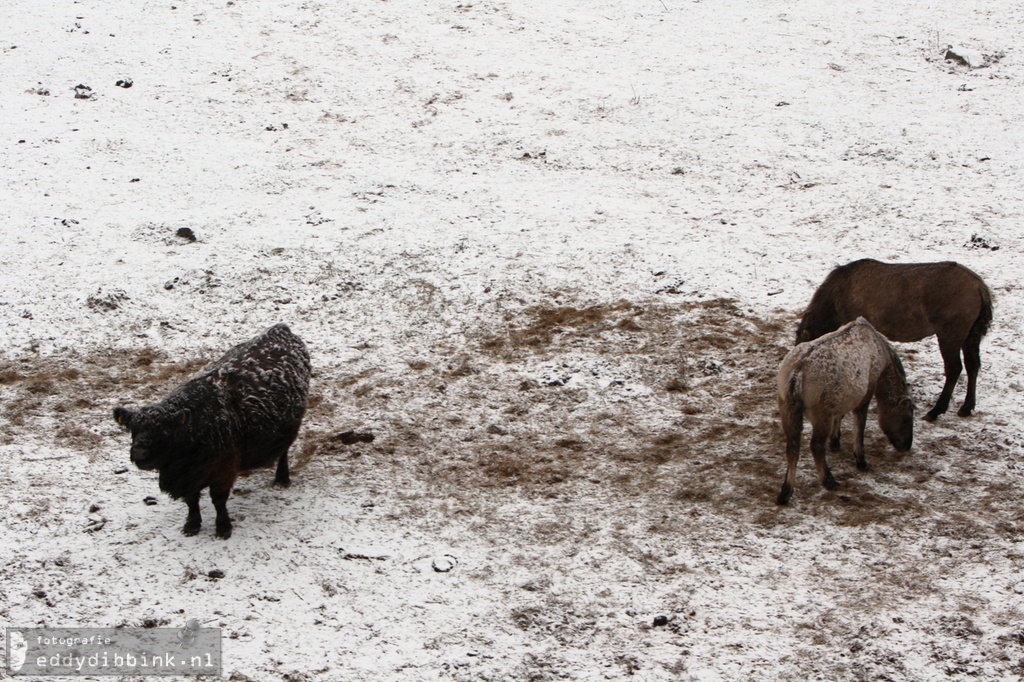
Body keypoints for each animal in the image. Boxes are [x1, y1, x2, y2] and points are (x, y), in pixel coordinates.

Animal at [112, 321, 309, 540]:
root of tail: (280, 328)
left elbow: (218, 500)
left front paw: (223, 527)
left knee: (283, 452)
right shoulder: (189, 478)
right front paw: (192, 524)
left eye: (163, 431)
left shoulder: (223, 470)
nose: (139, 452)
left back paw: (282, 478)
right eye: (133, 429)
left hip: (291, 427)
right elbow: (191, 500)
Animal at [774, 315, 913, 501]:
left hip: (788, 411)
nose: (906, 445)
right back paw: (828, 481)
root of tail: (798, 373)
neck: (878, 349)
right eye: (905, 419)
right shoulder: (865, 395)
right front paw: (861, 461)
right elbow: (859, 427)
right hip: (820, 416)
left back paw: (785, 492)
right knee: (816, 446)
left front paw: (835, 441)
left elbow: (839, 415)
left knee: (792, 447)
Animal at [798, 260, 991, 419]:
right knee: (972, 366)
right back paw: (966, 407)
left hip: (949, 335)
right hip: (971, 336)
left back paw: (936, 411)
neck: (837, 297)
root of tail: (979, 287)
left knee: (954, 369)